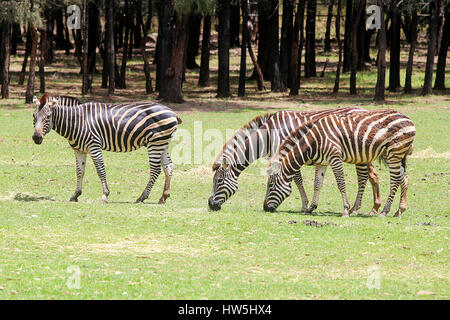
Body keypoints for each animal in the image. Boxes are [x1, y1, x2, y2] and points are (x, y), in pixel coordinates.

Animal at [31, 93, 181, 202]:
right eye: (33, 116)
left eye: (48, 116)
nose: (36, 138)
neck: (77, 121)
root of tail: (172, 111)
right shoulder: (79, 150)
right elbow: (79, 172)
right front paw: (76, 195)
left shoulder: (94, 146)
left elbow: (100, 170)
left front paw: (105, 195)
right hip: (162, 143)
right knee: (169, 167)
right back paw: (163, 197)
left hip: (155, 143)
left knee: (155, 169)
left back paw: (142, 197)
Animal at [207, 107, 380, 215]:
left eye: (219, 181)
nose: (210, 205)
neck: (268, 136)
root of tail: (364, 110)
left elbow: (297, 180)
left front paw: (304, 205)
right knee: (374, 175)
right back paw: (375, 208)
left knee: (367, 176)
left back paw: (361, 209)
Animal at [266, 110, 416, 218]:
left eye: (270, 186)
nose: (265, 208)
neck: (314, 141)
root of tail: (407, 118)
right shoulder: (323, 162)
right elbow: (317, 183)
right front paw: (311, 208)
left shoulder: (335, 159)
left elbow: (341, 184)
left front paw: (345, 210)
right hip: (392, 155)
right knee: (404, 177)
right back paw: (399, 211)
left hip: (394, 154)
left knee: (395, 181)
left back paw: (385, 211)